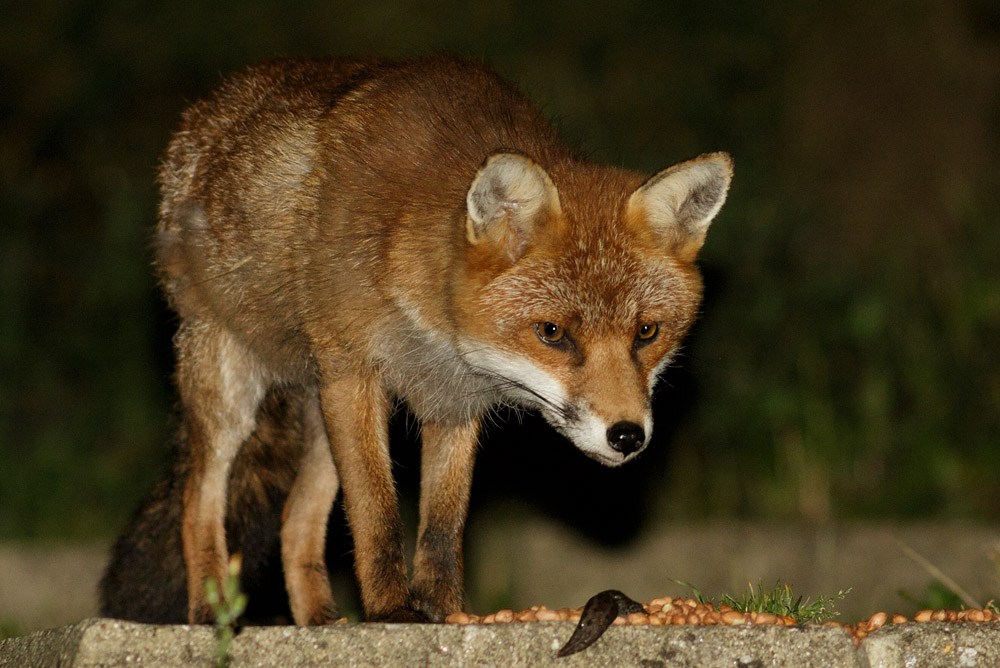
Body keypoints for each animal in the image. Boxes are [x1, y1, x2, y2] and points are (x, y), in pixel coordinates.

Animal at [99, 55, 732, 625]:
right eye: (552, 333)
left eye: (646, 332)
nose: (627, 436)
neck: (434, 330)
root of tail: (204, 113)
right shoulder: (355, 372)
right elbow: (378, 515)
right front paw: (391, 612)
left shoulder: (452, 403)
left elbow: (442, 530)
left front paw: (446, 613)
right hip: (235, 388)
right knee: (200, 499)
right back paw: (212, 614)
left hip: (322, 417)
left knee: (295, 523)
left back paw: (321, 622)